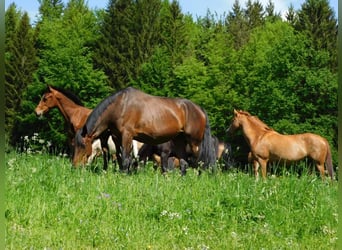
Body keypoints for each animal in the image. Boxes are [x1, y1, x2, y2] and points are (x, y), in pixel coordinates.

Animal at [73, 86, 216, 174]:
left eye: (82, 146)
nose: (74, 166)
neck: (120, 105)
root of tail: (199, 109)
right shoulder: (116, 137)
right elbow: (120, 157)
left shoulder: (127, 136)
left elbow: (126, 158)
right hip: (180, 141)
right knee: (184, 163)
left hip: (194, 143)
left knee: (199, 162)